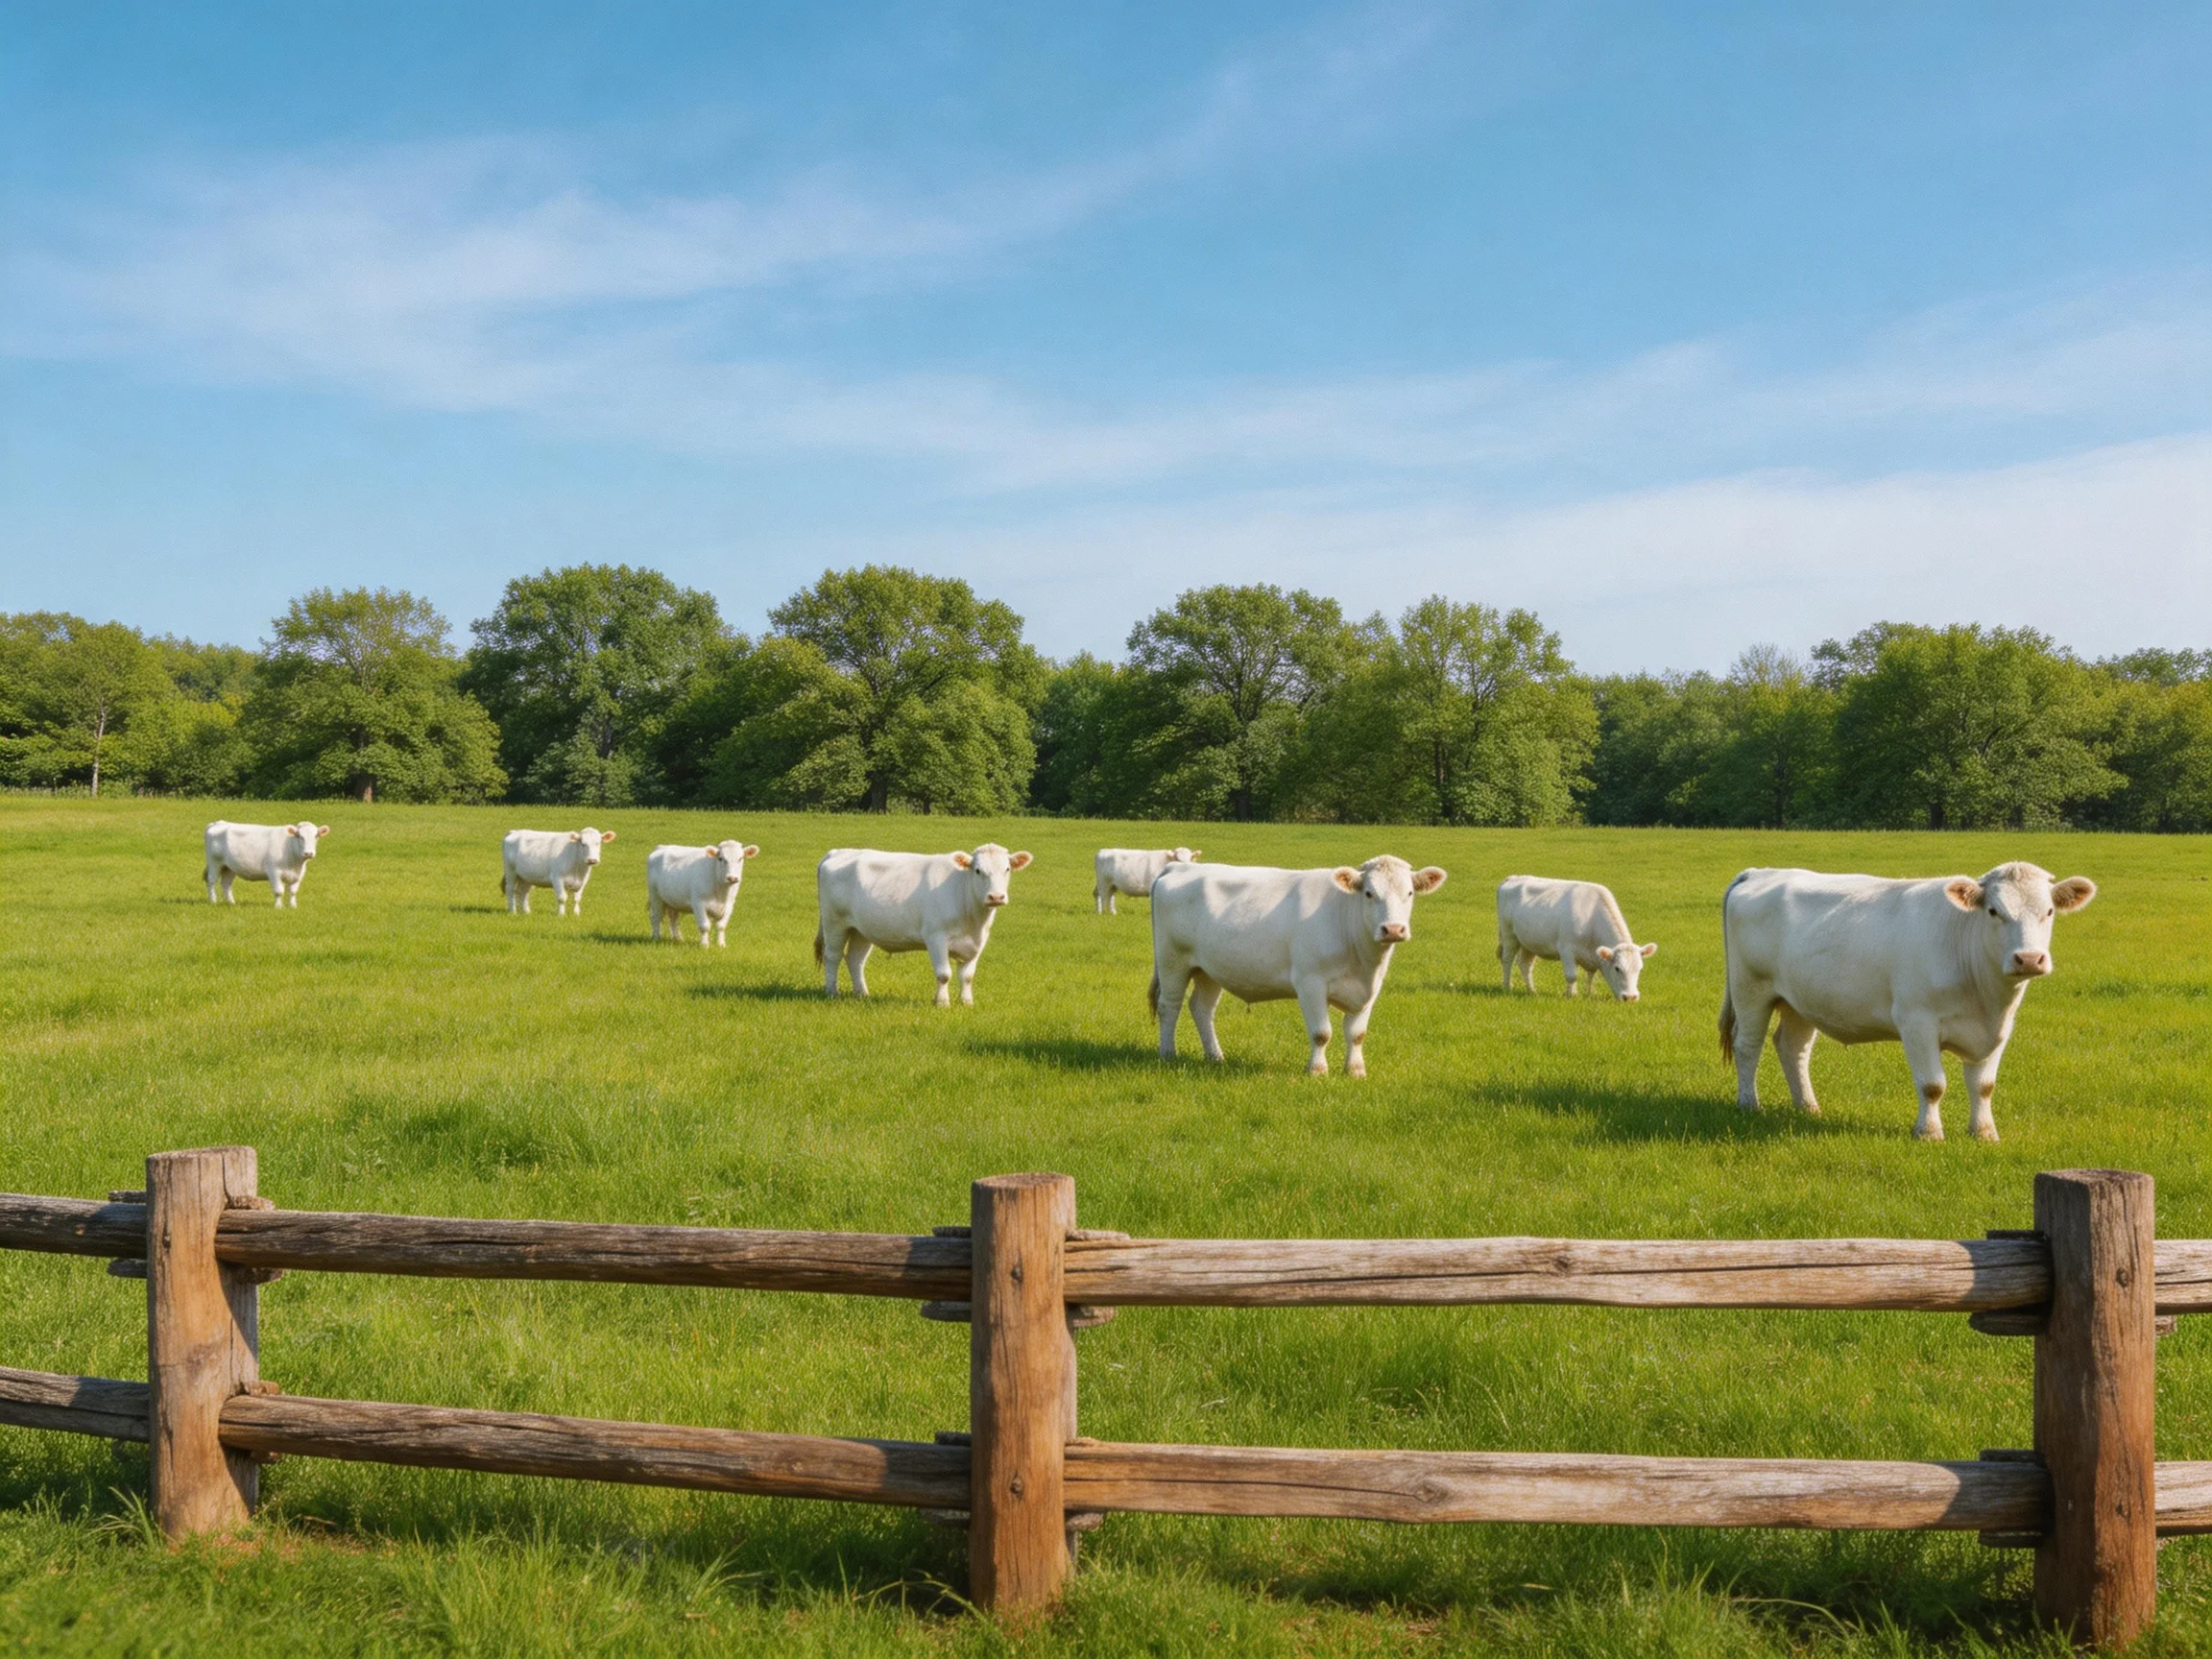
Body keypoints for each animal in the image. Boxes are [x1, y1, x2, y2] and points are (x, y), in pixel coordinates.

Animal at [204, 821, 329, 907]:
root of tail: (218, 823)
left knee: (226, 884)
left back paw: (231, 902)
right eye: (299, 836)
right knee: (211, 881)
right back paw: (213, 901)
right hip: (214, 862)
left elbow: (293, 892)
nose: (309, 853)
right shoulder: (274, 871)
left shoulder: (299, 874)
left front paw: (293, 906)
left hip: (229, 867)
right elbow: (279, 891)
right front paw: (278, 907)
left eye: (316, 836)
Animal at [815, 844, 1033, 1006]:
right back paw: (832, 992)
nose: (996, 897)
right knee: (832, 956)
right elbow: (944, 974)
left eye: (1007, 869)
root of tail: (838, 852)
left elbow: (967, 976)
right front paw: (942, 1002)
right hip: (834, 922)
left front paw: (967, 1002)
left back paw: (862, 993)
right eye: (978, 870)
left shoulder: (978, 942)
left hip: (861, 929)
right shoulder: (936, 936)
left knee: (855, 959)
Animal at [1149, 856, 1447, 1077]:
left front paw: (1355, 1071)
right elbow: (1321, 1033)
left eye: (1409, 892)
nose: (1393, 929)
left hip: (1209, 968)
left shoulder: (1370, 989)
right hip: (1172, 960)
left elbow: (1357, 1034)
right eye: (1369, 893)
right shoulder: (1310, 982)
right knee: (1169, 1006)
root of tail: (1179, 867)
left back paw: (1215, 1057)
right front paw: (1317, 1070)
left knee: (1202, 1008)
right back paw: (1168, 1054)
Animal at [1496, 875, 1657, 1001]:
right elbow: (1572, 975)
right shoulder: (1566, 949)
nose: (1630, 997)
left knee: (1525, 965)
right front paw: (1571, 995)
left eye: (1640, 969)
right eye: (1617, 968)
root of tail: (1513, 877)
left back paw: (1532, 991)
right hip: (1509, 935)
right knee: (1507, 960)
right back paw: (1507, 987)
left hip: (1529, 942)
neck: (1592, 920)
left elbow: (1592, 975)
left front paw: (1589, 993)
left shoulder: (1593, 955)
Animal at [1719, 863, 2097, 1142]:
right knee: (1748, 1046)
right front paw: (1929, 1133)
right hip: (1750, 988)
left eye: (2049, 911)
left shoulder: (2000, 1027)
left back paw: (1808, 1107)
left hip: (1799, 998)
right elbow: (1932, 1085)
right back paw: (1749, 1104)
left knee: (1792, 1047)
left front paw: (1984, 1133)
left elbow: (1984, 1086)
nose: (2029, 959)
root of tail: (1760, 872)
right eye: (1994, 911)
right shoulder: (1917, 1021)